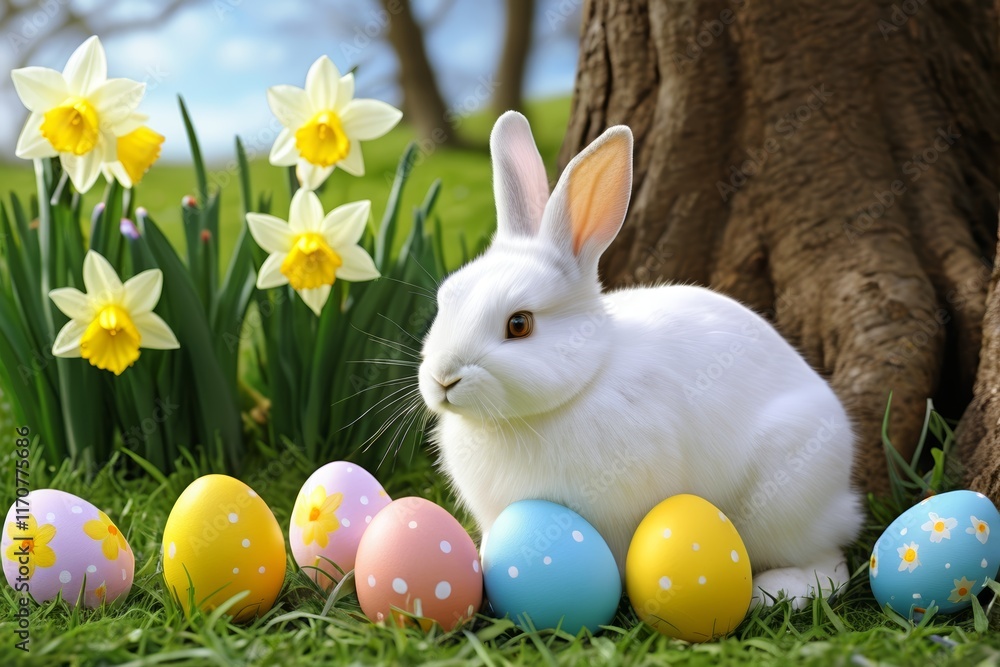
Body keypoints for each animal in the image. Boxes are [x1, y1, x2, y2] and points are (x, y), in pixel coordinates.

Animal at [417, 110, 864, 608]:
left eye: (519, 324)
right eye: (445, 298)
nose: (443, 378)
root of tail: (842, 499)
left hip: (784, 499)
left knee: (830, 562)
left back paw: (780, 590)